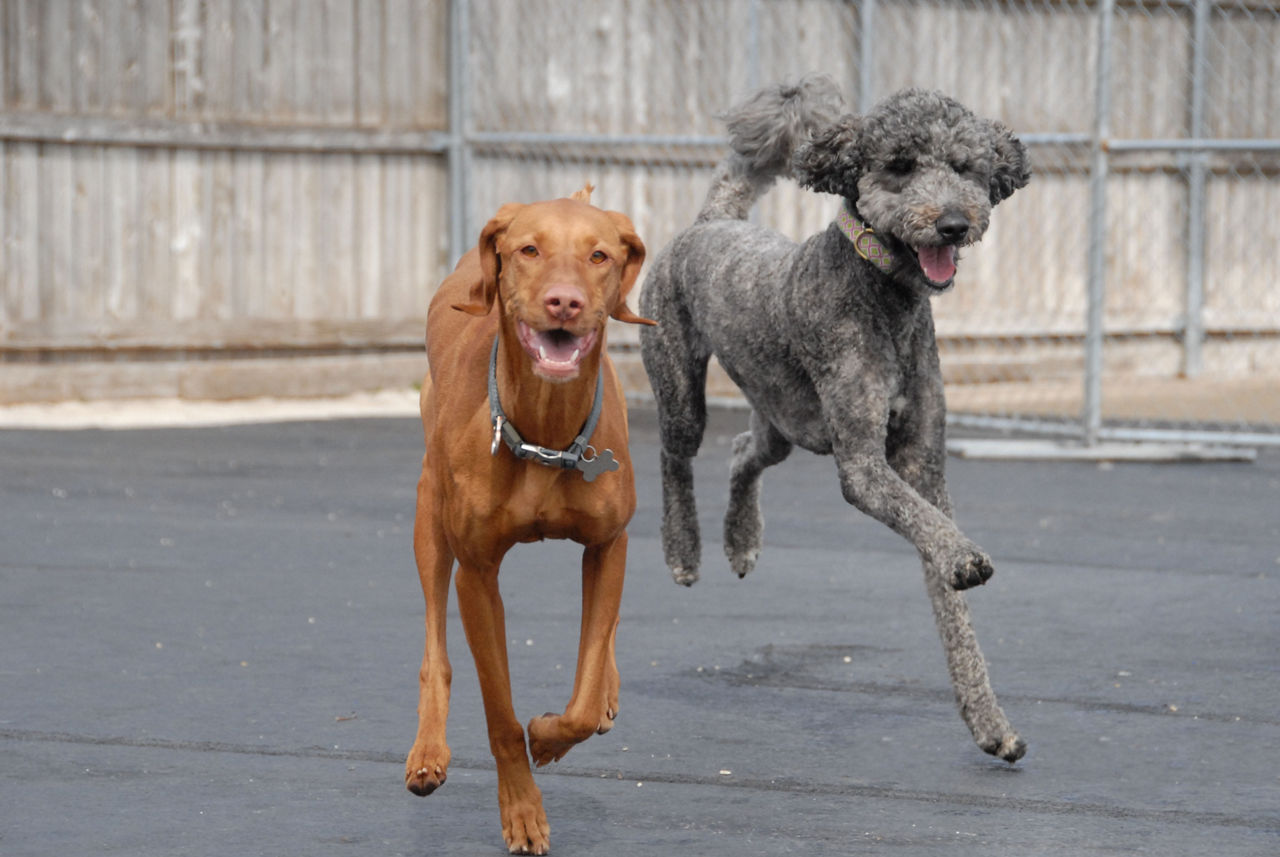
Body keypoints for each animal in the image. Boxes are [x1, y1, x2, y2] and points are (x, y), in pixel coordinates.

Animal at [404, 189, 650, 857]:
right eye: (529, 250)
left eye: (599, 255)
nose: (564, 301)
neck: (545, 432)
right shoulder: (476, 575)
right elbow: (500, 716)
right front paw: (522, 810)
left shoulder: (609, 546)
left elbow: (584, 693)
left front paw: (552, 733)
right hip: (429, 520)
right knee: (434, 645)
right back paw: (428, 752)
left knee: (604, 635)